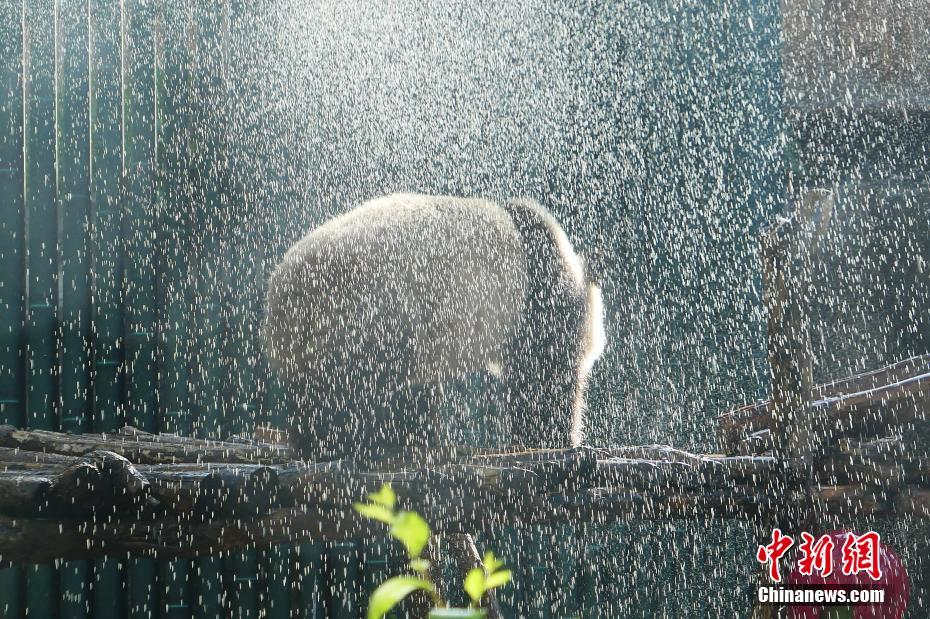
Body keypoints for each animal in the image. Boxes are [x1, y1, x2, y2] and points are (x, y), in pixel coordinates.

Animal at [263, 192, 605, 462]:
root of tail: (283, 293)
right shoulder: (539, 300)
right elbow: (542, 376)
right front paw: (552, 439)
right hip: (370, 305)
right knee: (362, 383)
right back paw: (357, 443)